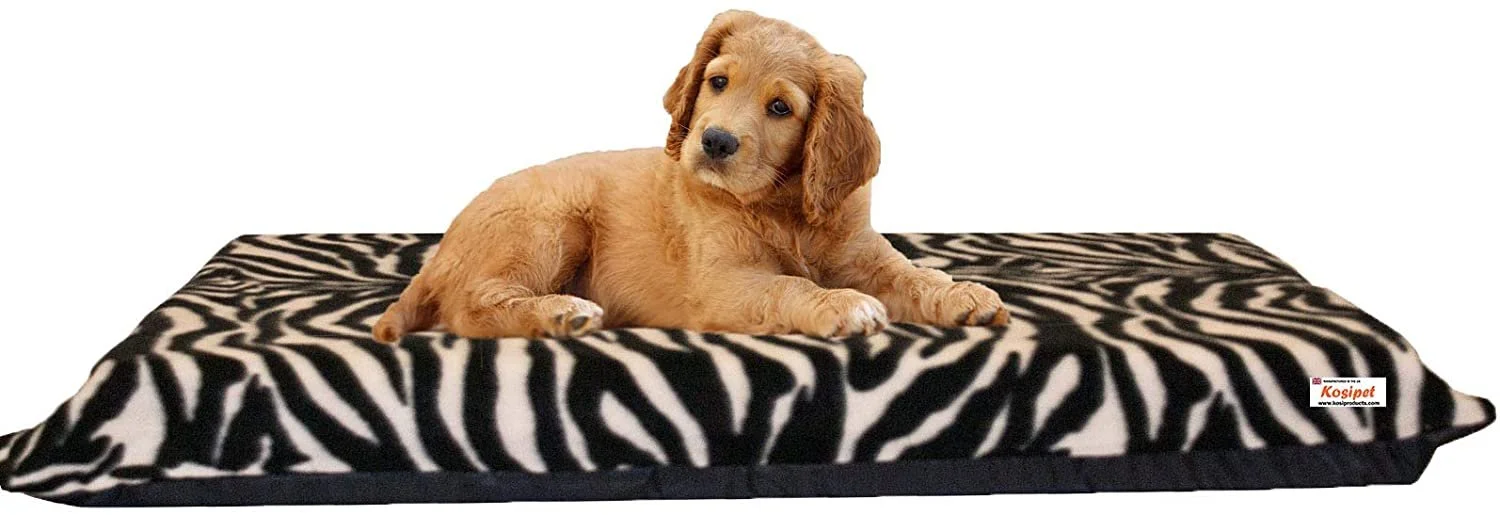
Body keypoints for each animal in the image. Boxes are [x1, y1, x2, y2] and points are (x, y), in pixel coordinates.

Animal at [372, 10, 1008, 343]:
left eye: (781, 108)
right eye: (718, 82)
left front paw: (962, 293)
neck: (783, 206)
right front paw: (842, 306)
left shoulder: (864, 253)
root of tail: (441, 254)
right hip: (548, 224)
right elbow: (789, 286)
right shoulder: (722, 282)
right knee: (469, 307)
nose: (716, 141)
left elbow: (913, 274)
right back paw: (559, 313)